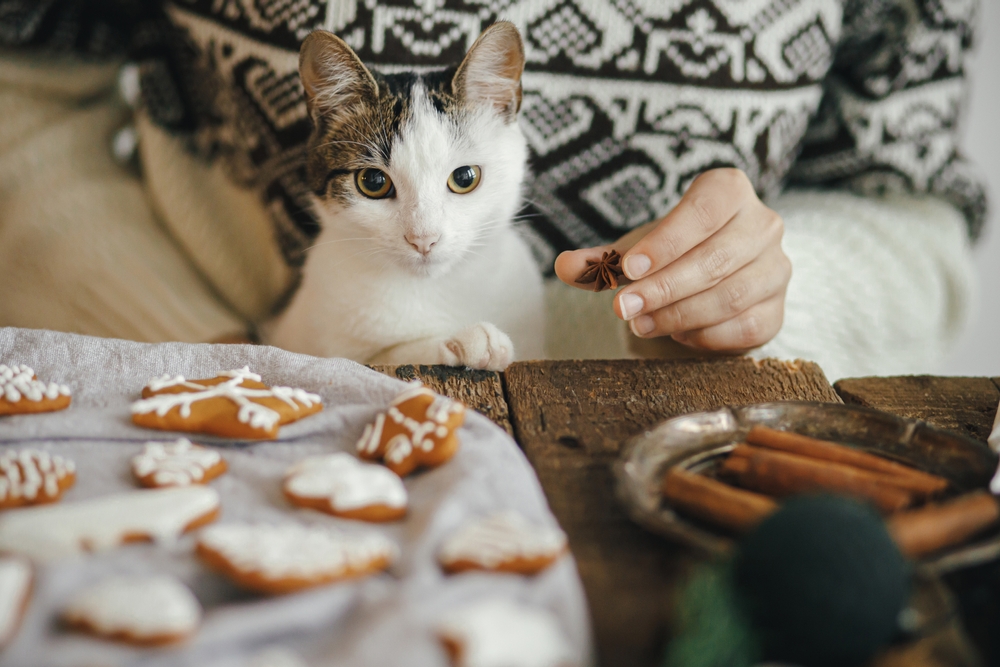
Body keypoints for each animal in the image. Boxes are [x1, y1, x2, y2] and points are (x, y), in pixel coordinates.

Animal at [266, 23, 544, 374]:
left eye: (465, 178)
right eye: (373, 182)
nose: (423, 238)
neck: (431, 288)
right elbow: (380, 358)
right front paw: (467, 340)